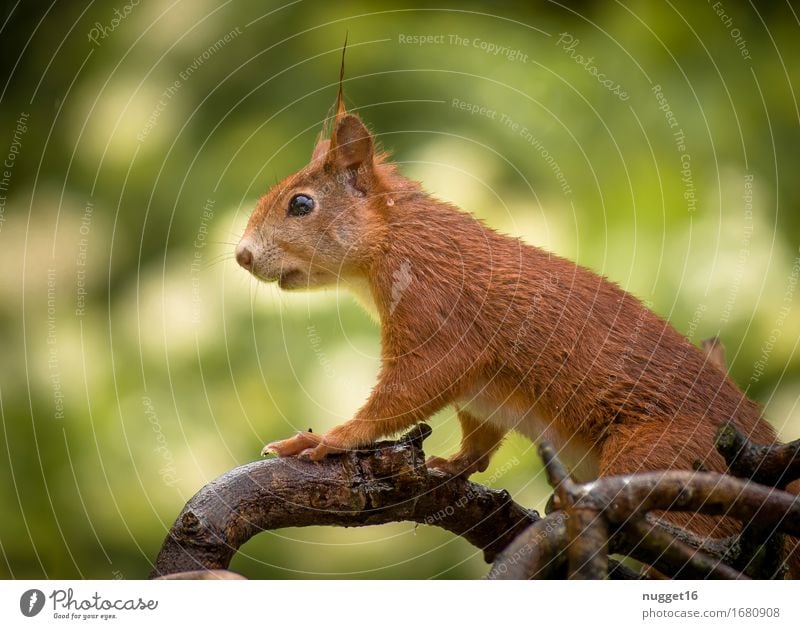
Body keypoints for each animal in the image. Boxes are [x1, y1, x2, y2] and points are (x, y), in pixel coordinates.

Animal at [236, 79, 792, 548]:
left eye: (301, 204)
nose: (241, 255)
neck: (398, 239)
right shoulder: (482, 390)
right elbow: (478, 437)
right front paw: (455, 464)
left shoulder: (438, 312)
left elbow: (410, 390)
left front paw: (326, 439)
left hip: (668, 457)